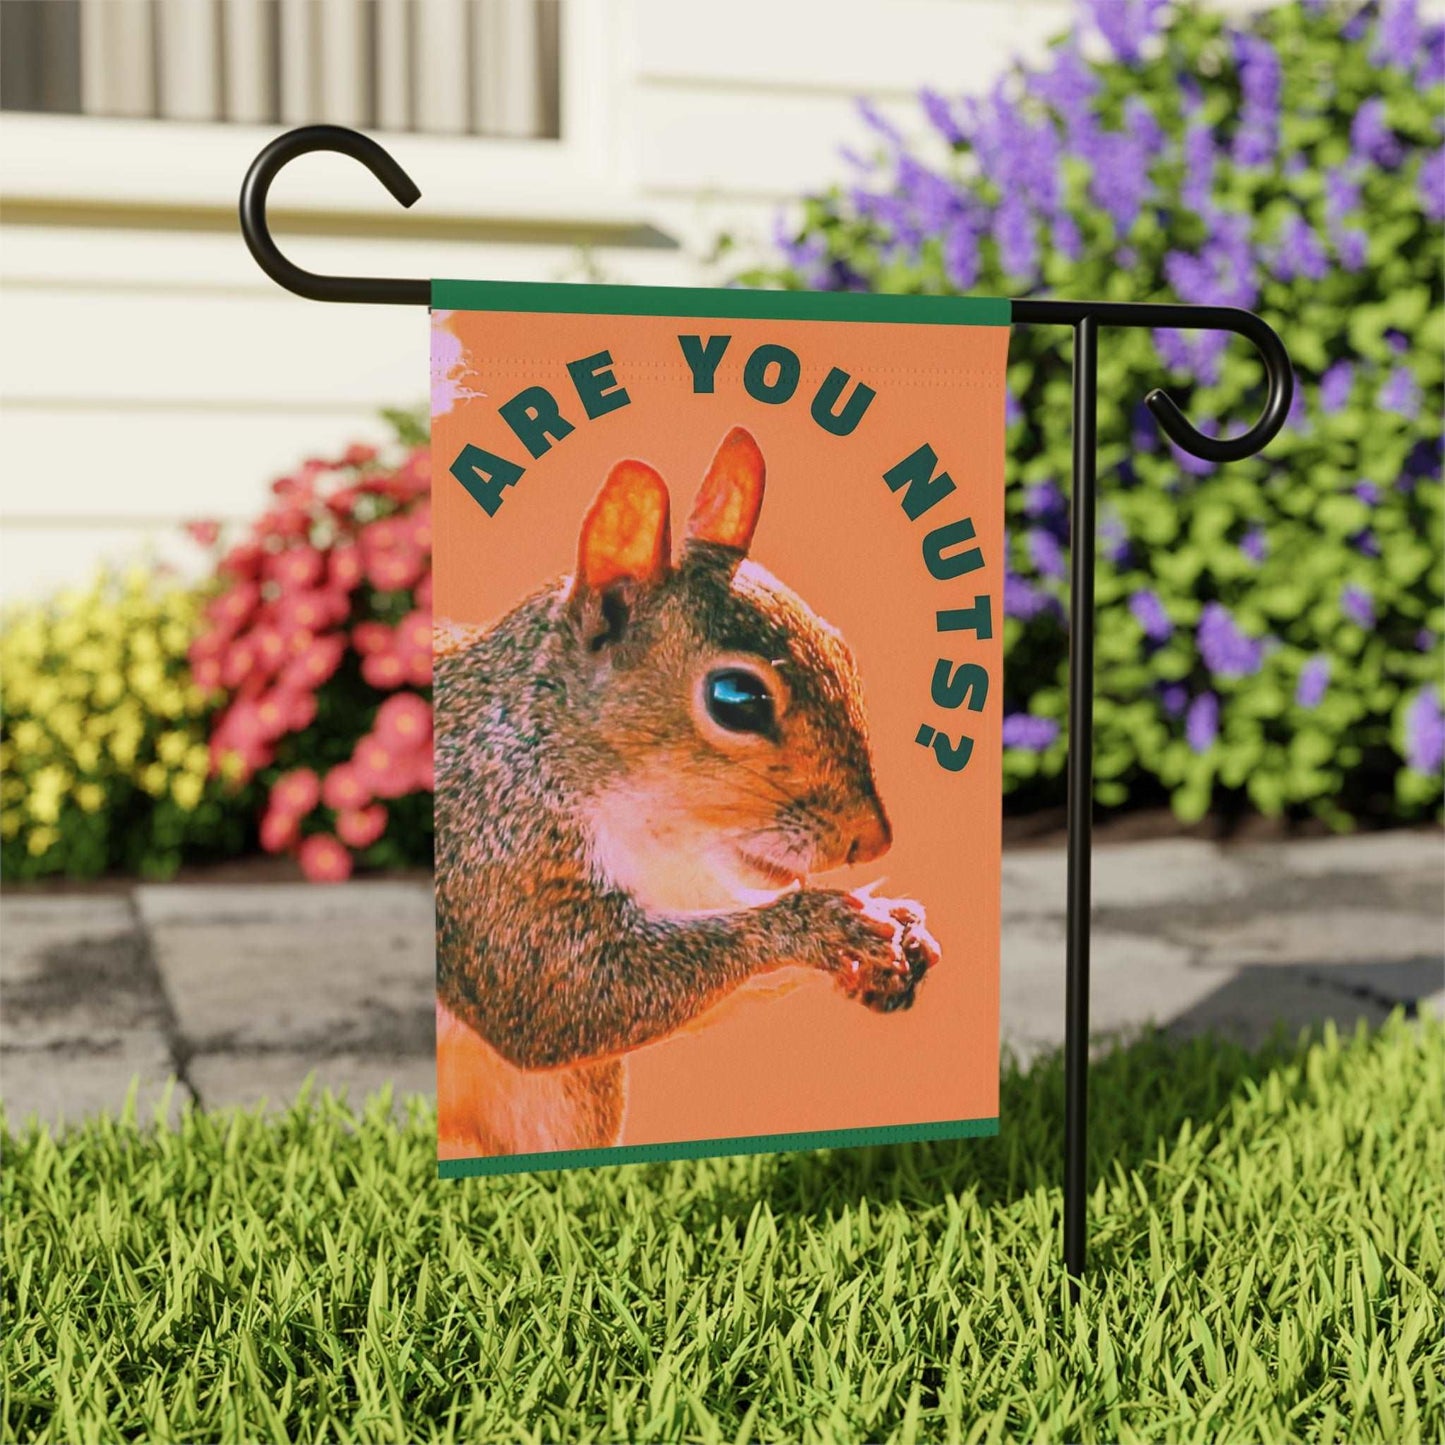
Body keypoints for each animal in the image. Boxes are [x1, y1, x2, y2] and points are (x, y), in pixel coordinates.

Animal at [435, 425, 939, 1158]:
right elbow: (562, 999)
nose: (871, 841)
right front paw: (822, 924)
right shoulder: (491, 858)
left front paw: (904, 930)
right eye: (737, 699)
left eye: (844, 652)